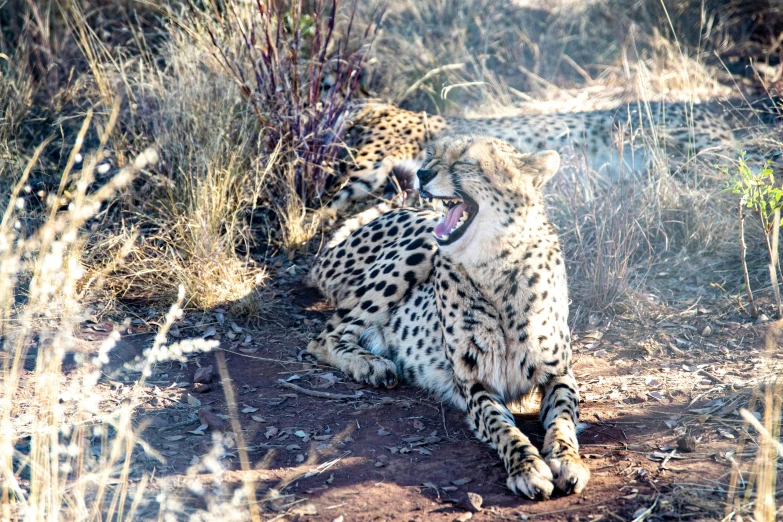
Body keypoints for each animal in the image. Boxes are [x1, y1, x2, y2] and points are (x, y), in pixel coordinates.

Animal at [306, 133, 588, 496]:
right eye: (432, 156)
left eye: (465, 162)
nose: (422, 174)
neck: (496, 266)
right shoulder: (475, 381)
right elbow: (503, 428)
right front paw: (527, 467)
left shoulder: (559, 372)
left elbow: (563, 419)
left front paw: (567, 460)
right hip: (419, 245)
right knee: (325, 336)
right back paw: (371, 364)